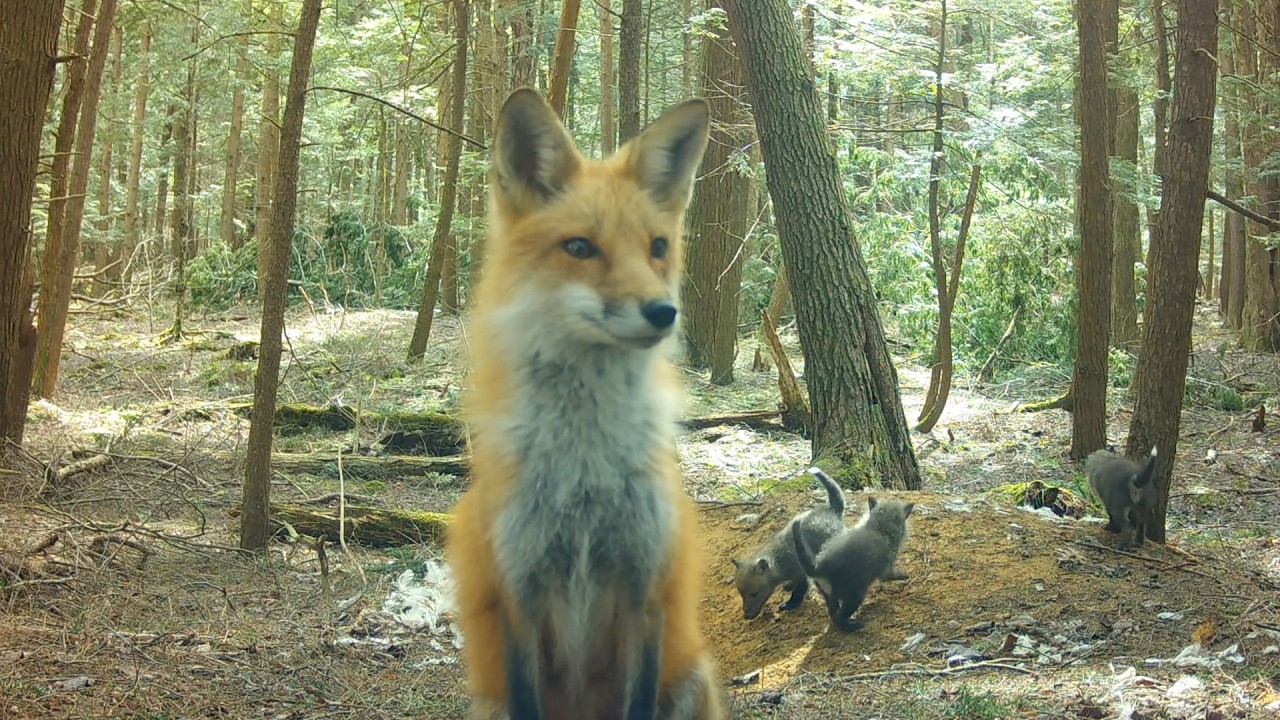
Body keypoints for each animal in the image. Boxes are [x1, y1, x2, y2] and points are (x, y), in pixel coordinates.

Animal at [445, 89, 724, 720]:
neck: (584, 471)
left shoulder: (646, 591)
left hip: (692, 680)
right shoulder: (518, 594)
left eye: (658, 248)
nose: (663, 312)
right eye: (579, 247)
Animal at [732, 467, 846, 620]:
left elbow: (799, 592)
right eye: (741, 594)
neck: (781, 559)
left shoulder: (803, 574)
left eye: (754, 593)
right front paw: (788, 587)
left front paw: (790, 605)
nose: (747, 616)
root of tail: (832, 509)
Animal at [792, 497, 914, 632]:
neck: (878, 528)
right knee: (838, 618)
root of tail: (818, 567)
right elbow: (891, 575)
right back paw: (853, 626)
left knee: (833, 611)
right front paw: (904, 575)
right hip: (855, 595)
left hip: (827, 593)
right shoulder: (886, 569)